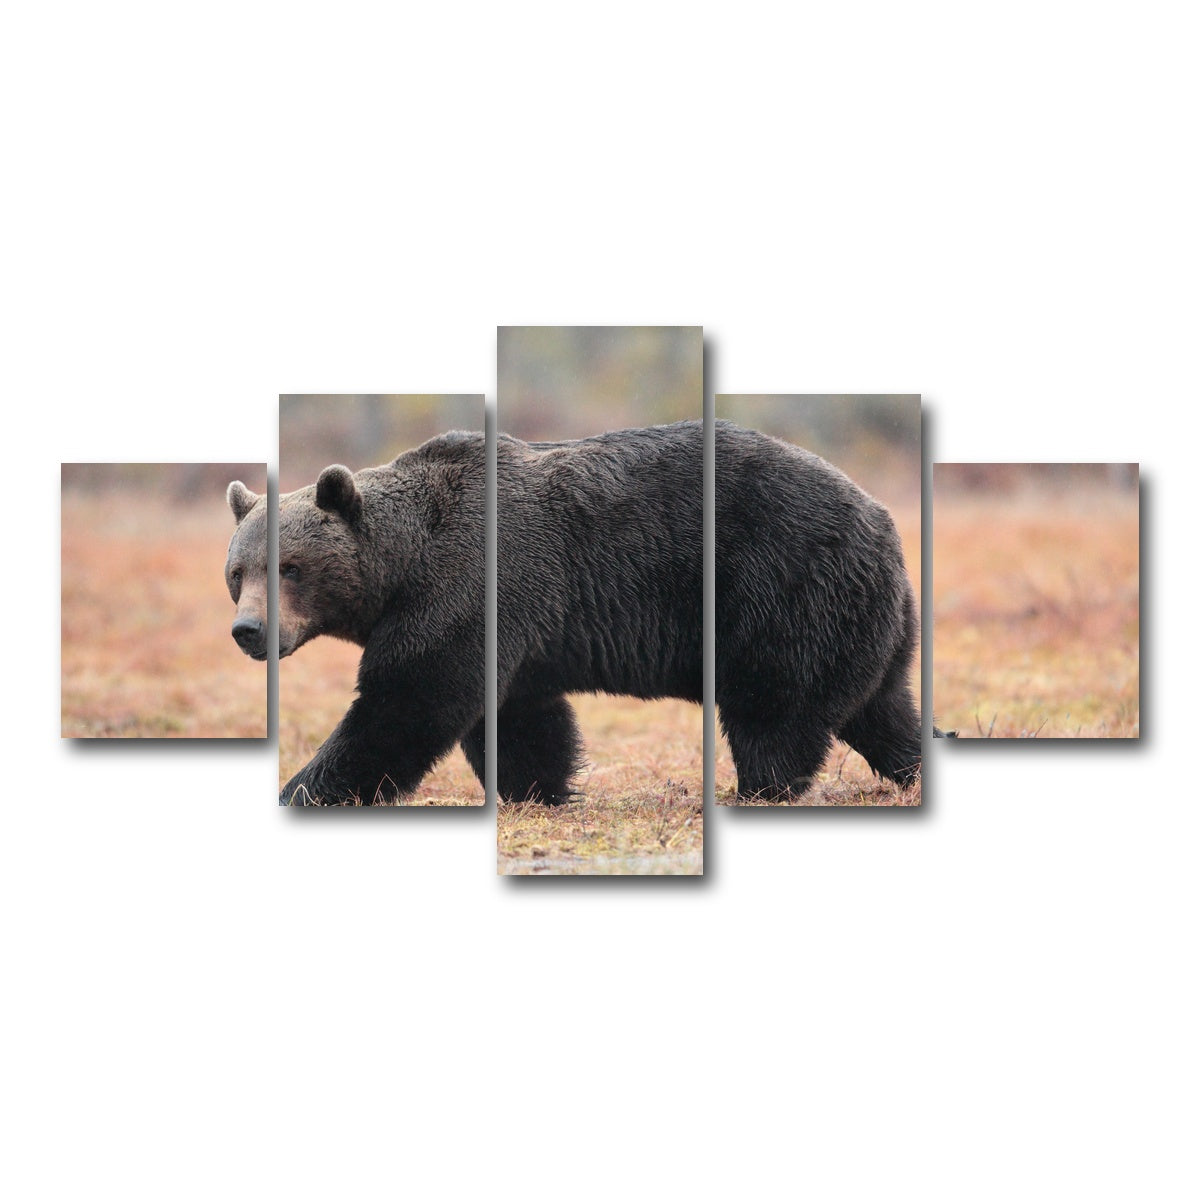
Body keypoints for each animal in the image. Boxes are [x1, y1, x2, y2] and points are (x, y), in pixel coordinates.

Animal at [225, 431, 485, 805]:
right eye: (237, 573)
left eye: (290, 567)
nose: (248, 628)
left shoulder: (457, 588)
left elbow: (406, 699)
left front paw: (301, 790)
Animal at [496, 420, 921, 802]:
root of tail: (880, 518)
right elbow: (526, 719)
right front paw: (538, 789)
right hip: (865, 625)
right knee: (883, 711)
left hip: (784, 596)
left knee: (773, 709)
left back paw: (759, 789)